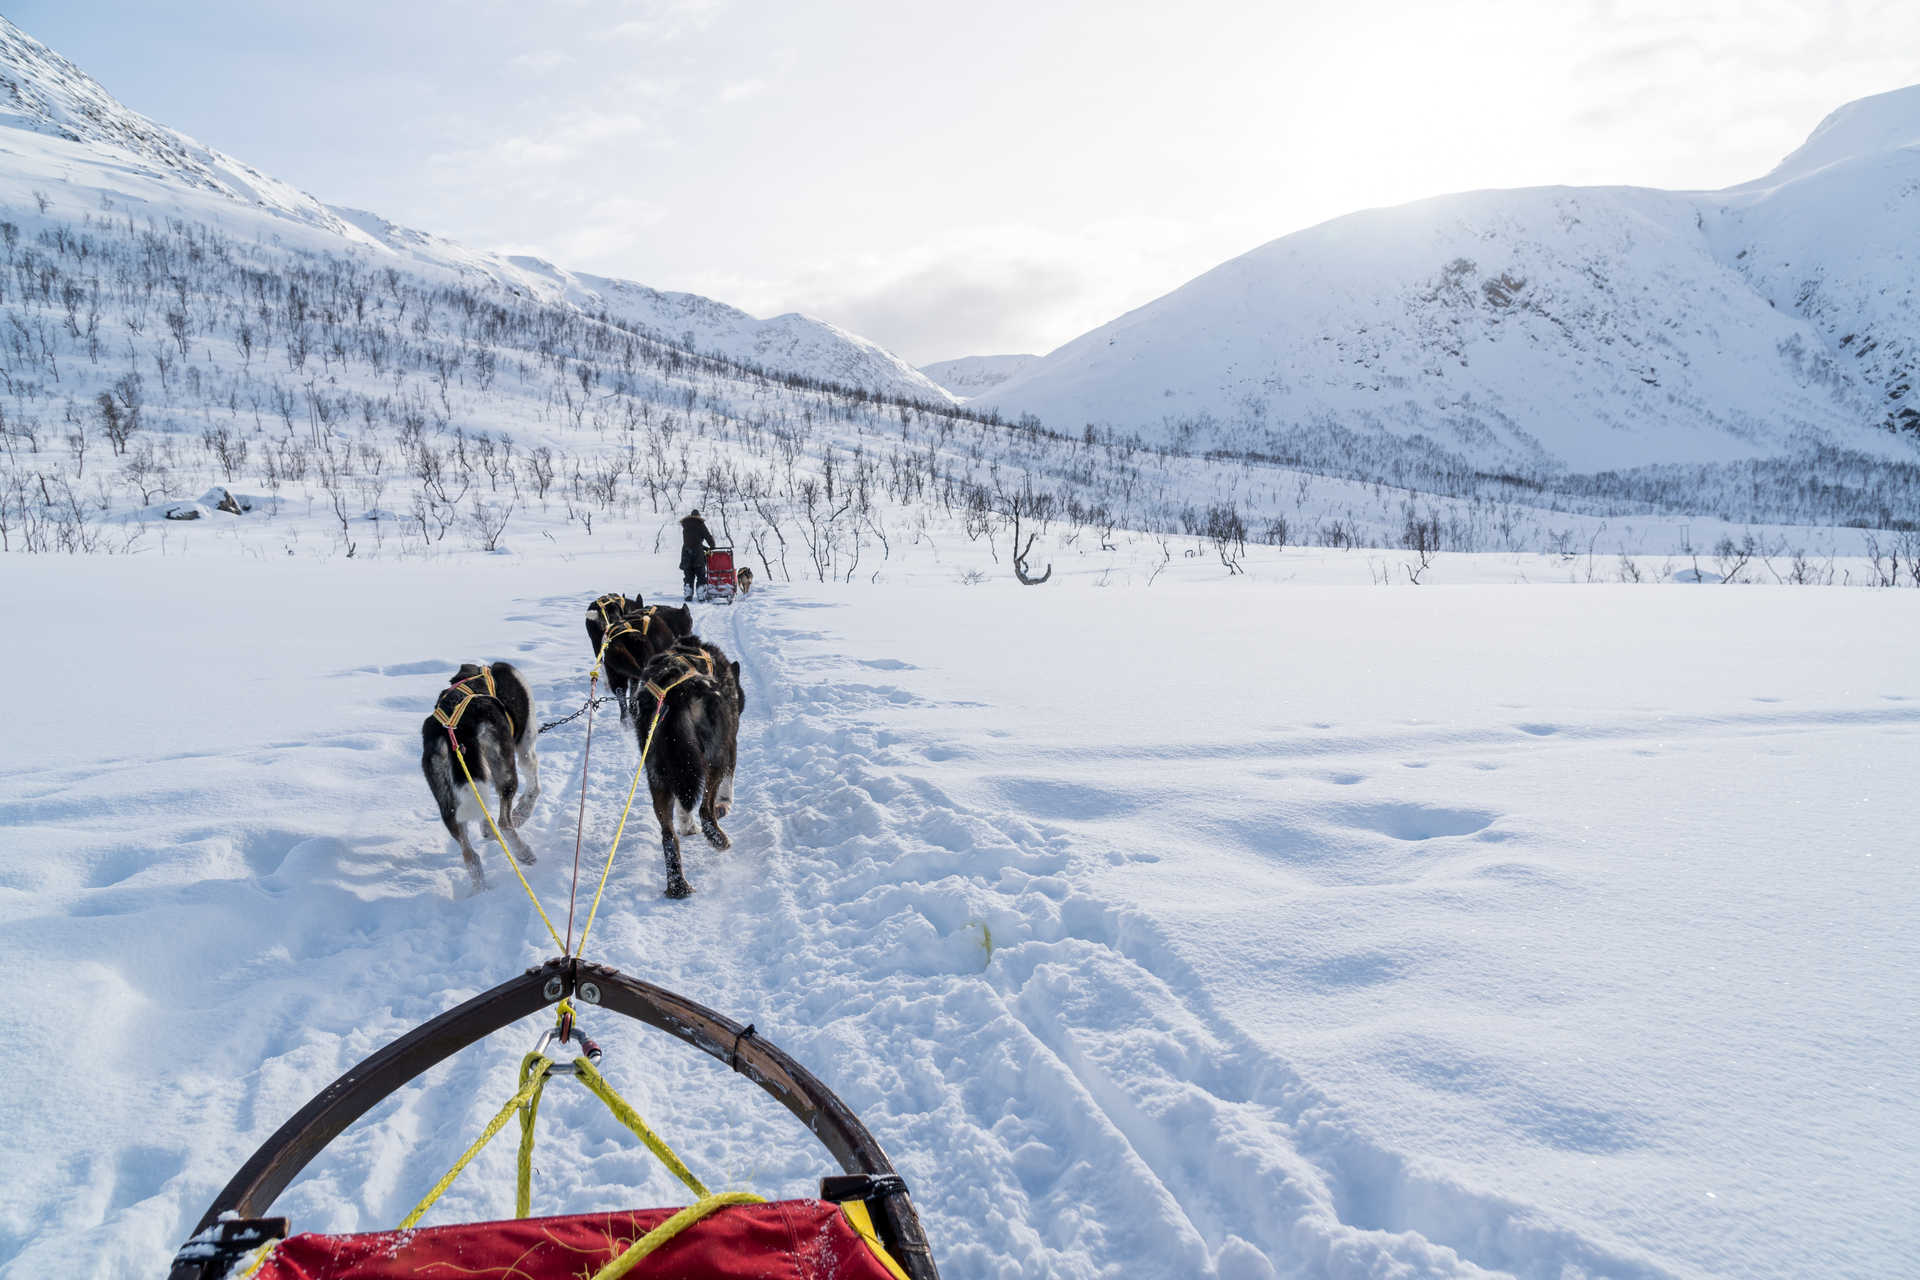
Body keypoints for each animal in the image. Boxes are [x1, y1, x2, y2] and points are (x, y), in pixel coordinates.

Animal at [420, 667, 541, 886]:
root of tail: (458, 730)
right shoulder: (526, 749)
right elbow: (533, 786)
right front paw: (521, 813)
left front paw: (487, 829)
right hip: (505, 769)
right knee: (505, 823)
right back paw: (523, 853)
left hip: (445, 800)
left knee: (470, 856)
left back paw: (481, 888)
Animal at [637, 640, 741, 901]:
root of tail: (676, 693)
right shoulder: (730, 742)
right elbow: (729, 781)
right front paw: (725, 803)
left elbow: (683, 806)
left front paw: (686, 825)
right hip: (714, 757)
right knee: (705, 810)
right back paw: (719, 839)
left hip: (658, 774)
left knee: (668, 835)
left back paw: (677, 885)